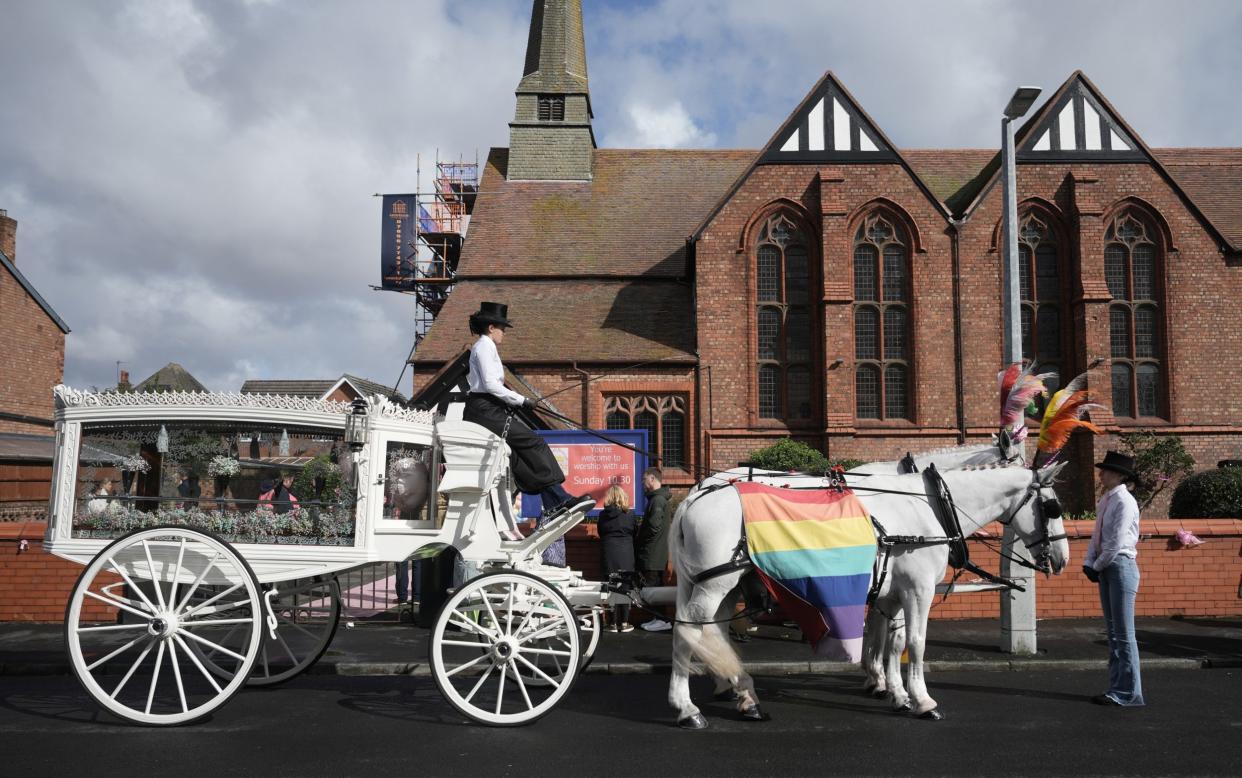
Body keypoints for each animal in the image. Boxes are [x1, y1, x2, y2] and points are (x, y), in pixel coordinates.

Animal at [670, 459, 1068, 725]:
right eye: (1052, 508)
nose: (1062, 559)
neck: (929, 506)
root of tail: (693, 498)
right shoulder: (919, 590)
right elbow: (916, 643)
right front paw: (921, 699)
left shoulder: (893, 593)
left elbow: (893, 642)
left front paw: (895, 692)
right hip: (716, 582)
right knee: (688, 631)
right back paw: (687, 706)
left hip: (716, 582)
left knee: (711, 631)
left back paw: (742, 694)